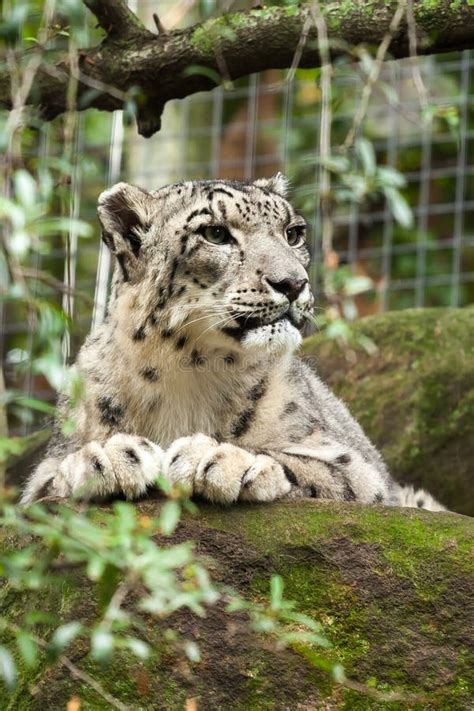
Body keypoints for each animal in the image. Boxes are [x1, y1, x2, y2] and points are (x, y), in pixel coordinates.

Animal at [21, 177, 444, 512]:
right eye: (216, 234)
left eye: (293, 233)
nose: (294, 283)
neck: (189, 368)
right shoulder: (45, 470)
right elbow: (52, 478)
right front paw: (110, 457)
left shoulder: (354, 464)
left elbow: (316, 467)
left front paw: (217, 458)